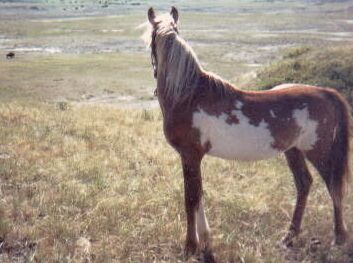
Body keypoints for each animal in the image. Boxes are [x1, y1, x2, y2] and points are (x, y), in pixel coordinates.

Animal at [144, 6, 350, 260]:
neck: (188, 95)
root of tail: (326, 92)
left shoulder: (190, 155)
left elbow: (190, 198)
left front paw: (190, 247)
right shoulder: (193, 158)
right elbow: (198, 195)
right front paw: (205, 243)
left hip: (318, 151)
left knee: (333, 186)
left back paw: (338, 239)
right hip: (293, 151)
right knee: (304, 184)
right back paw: (288, 238)